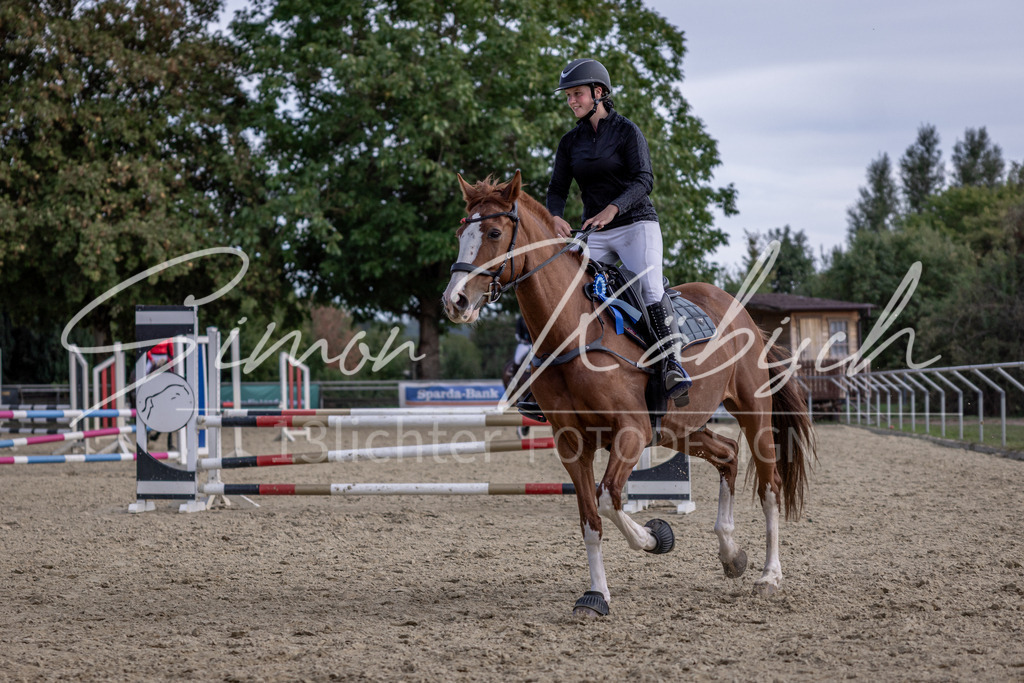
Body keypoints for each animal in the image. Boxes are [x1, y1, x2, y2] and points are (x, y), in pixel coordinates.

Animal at [442, 171, 815, 617]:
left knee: (769, 485)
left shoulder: (631, 431)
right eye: (460, 232)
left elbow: (609, 498)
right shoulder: (572, 443)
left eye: (495, 232)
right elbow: (591, 518)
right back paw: (731, 554)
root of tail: (742, 312)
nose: (455, 301)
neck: (575, 331)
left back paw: (769, 576)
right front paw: (596, 596)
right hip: (677, 429)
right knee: (727, 454)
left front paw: (656, 537)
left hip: (751, 411)